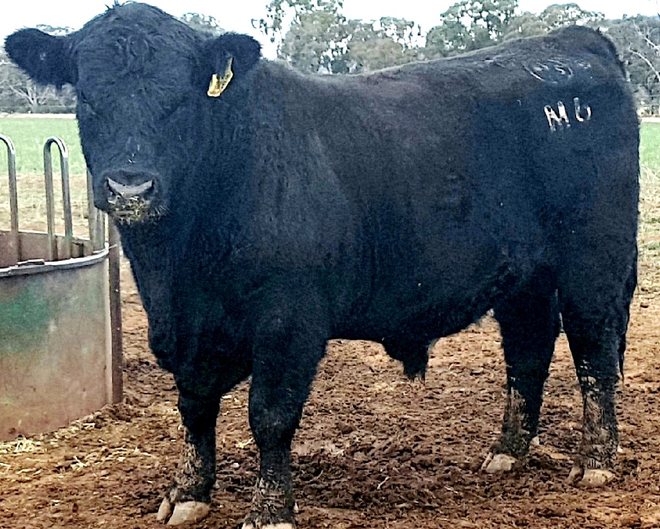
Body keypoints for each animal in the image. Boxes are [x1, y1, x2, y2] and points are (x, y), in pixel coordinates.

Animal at [6, 3, 639, 528]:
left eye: (180, 99)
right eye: (87, 98)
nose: (130, 187)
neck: (182, 265)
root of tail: (571, 42)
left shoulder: (289, 319)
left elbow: (269, 414)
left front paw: (269, 511)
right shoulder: (184, 327)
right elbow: (194, 406)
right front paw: (188, 492)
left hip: (595, 262)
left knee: (593, 352)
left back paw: (597, 461)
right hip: (524, 277)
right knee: (528, 351)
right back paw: (507, 453)